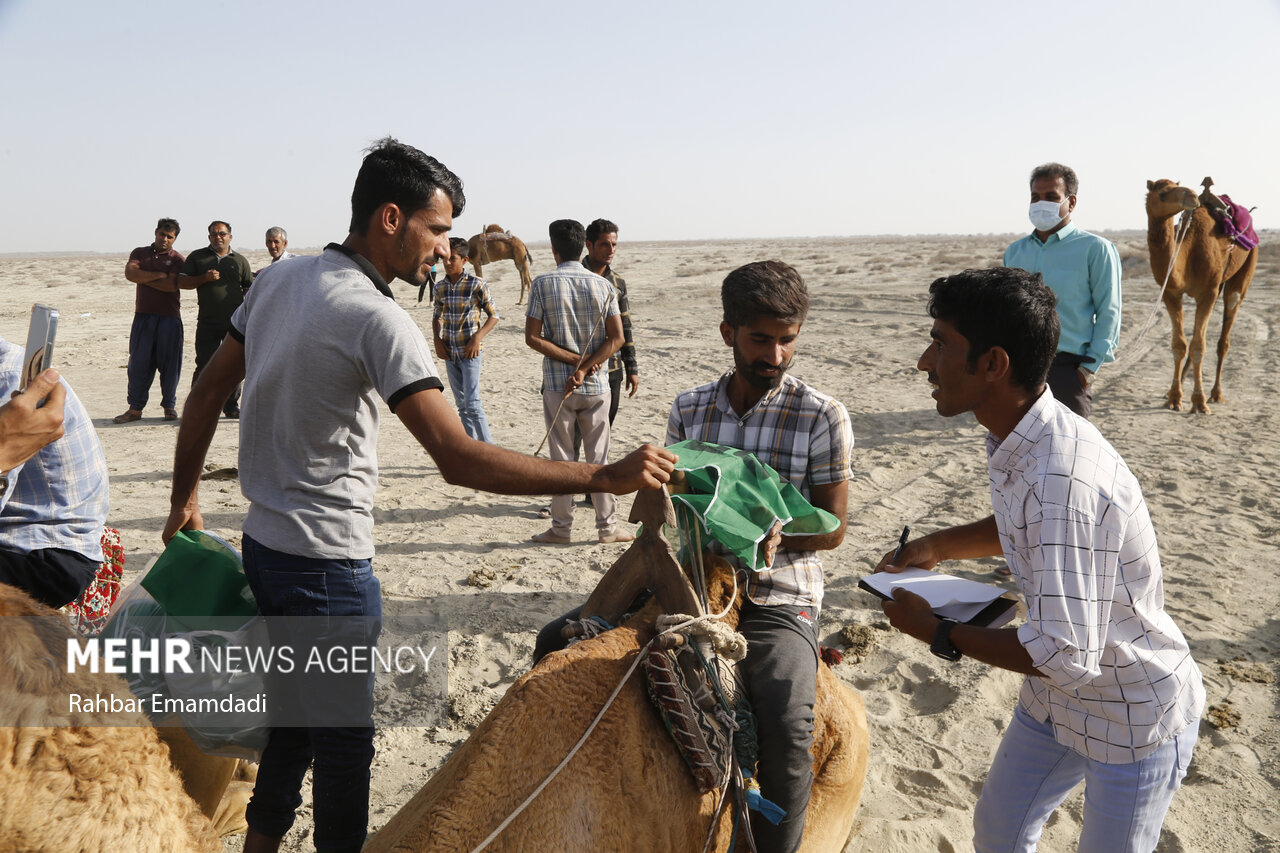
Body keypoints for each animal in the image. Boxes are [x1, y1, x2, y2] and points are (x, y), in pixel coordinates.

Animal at [1146, 178, 1254, 409]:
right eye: (1162, 192)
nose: (1192, 196)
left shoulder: (1207, 292)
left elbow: (1199, 345)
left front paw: (1199, 401)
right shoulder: (1171, 292)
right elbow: (1180, 344)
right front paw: (1174, 397)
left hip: (1243, 270)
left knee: (1224, 337)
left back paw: (1215, 393)